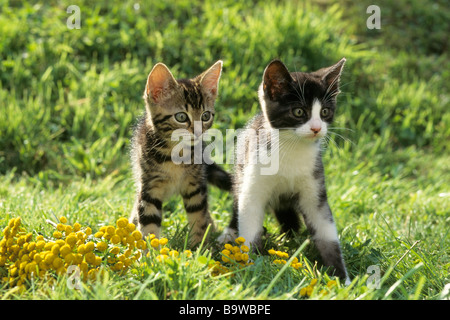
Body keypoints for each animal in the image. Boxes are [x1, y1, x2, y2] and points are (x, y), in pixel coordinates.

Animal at [129, 60, 229, 245]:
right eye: (181, 117)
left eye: (206, 116)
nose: (198, 133)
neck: (176, 154)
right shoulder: (149, 186)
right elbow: (149, 222)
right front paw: (149, 251)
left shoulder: (195, 185)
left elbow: (199, 216)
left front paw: (199, 246)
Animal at [221, 58, 352, 282]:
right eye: (299, 111)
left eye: (325, 112)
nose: (317, 128)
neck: (292, 148)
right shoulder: (253, 181)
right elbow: (249, 222)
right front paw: (249, 267)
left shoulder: (314, 187)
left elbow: (326, 231)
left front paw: (342, 278)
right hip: (241, 169)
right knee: (237, 198)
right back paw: (230, 232)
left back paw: (291, 235)